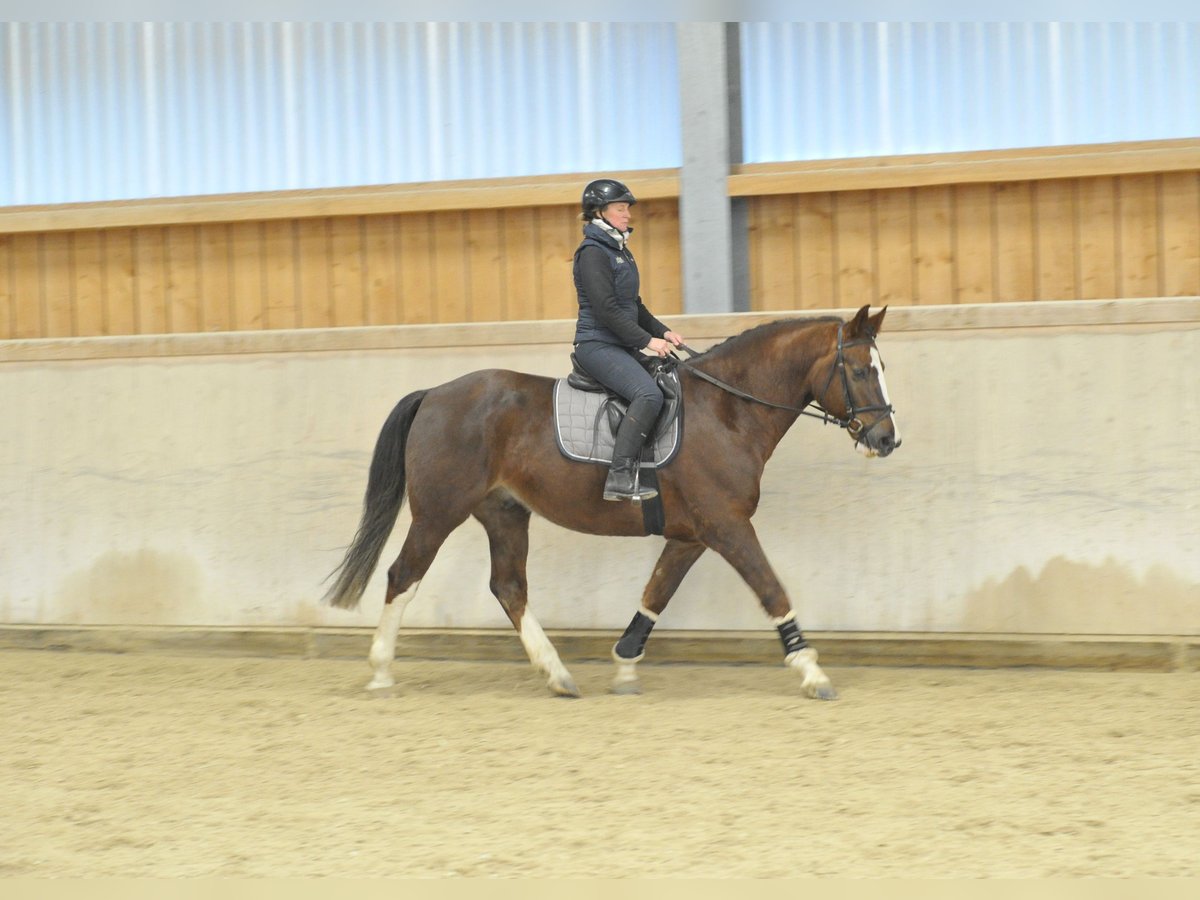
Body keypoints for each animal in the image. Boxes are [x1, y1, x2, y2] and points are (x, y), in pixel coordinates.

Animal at [322, 304, 901, 701]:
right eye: (859, 371)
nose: (887, 439)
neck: (728, 410)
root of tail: (436, 394)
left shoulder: (691, 536)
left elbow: (655, 595)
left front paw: (624, 664)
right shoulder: (728, 526)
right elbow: (771, 590)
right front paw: (812, 672)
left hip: (504, 512)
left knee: (508, 587)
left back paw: (557, 674)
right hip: (439, 512)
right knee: (403, 576)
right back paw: (381, 671)